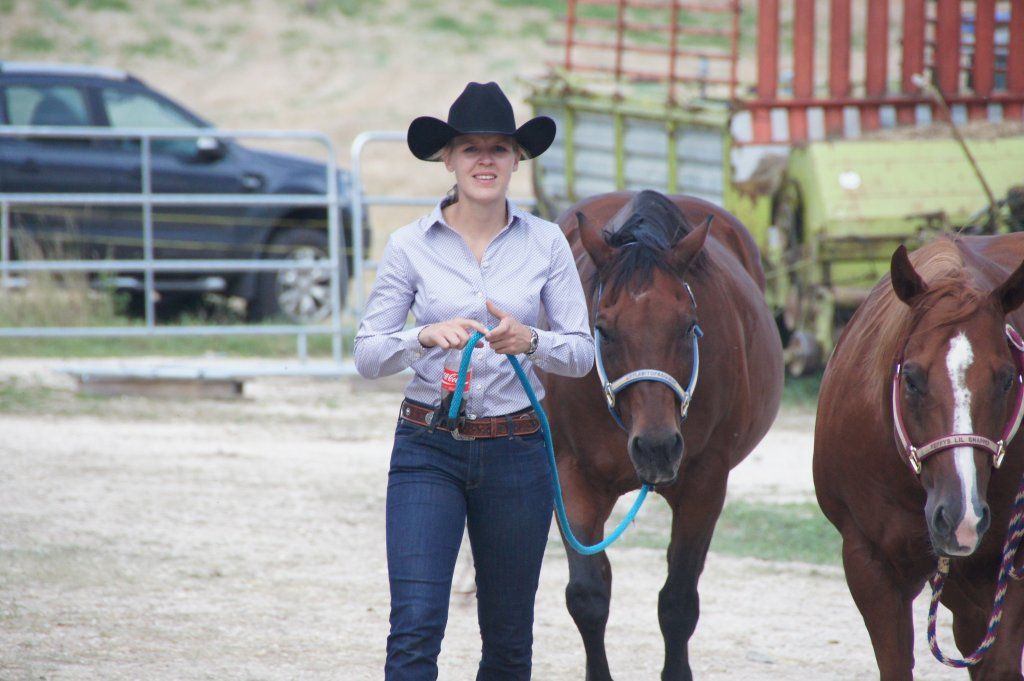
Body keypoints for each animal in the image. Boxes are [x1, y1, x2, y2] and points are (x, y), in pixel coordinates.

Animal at [541, 190, 784, 681]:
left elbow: (677, 603)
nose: (657, 447)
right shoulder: (569, 474)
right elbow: (588, 595)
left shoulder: (705, 484)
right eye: (603, 329)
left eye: (689, 326)